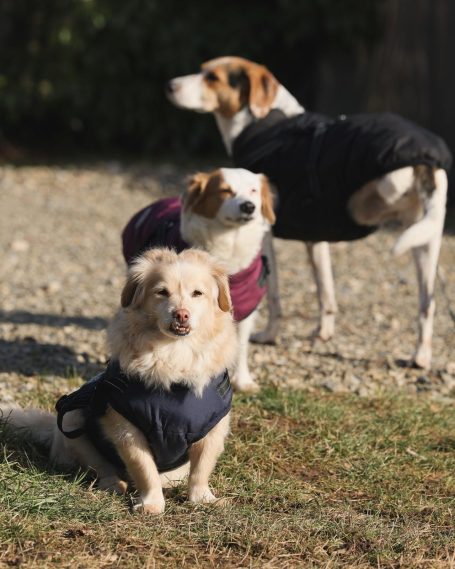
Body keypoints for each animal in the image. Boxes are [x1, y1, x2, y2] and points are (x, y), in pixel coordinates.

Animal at [1, 248, 239, 516]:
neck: (175, 353)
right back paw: (114, 484)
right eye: (162, 292)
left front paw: (203, 499)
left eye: (197, 293)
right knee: (100, 468)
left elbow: (201, 469)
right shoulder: (127, 429)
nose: (181, 314)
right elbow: (144, 469)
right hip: (73, 419)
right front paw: (151, 504)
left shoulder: (213, 430)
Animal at [123, 168, 276, 390]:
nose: (248, 206)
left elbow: (240, 343)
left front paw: (243, 380)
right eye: (225, 190)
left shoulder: (247, 307)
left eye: (253, 190)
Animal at [167, 56, 452, 368]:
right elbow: (325, 292)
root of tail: (427, 157)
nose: (170, 85)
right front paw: (323, 332)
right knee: (428, 303)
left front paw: (270, 334)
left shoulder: (265, 239)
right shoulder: (316, 239)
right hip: (426, 245)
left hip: (395, 196)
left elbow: (274, 296)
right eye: (202, 70)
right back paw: (421, 355)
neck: (266, 124)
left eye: (212, 78)